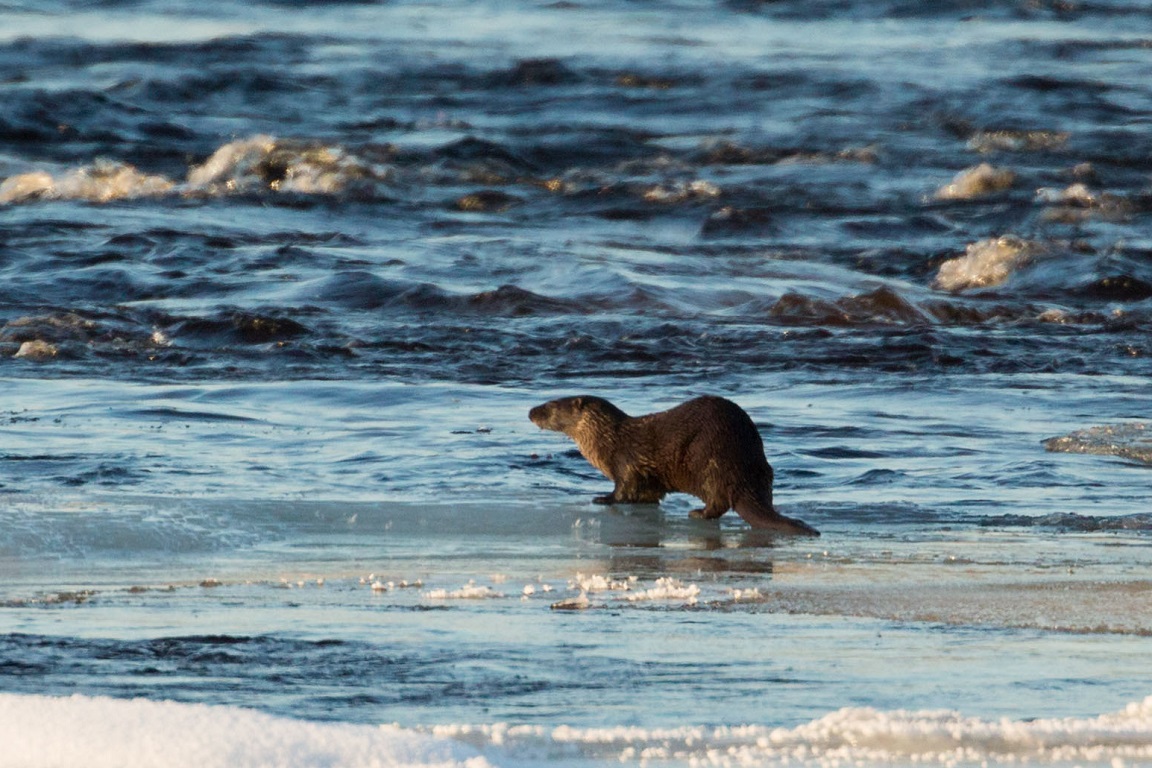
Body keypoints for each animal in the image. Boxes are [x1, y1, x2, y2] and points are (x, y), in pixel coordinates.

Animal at [529, 393, 820, 538]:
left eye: (550, 406)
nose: (531, 412)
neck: (607, 439)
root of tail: (745, 474)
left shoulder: (626, 463)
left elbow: (623, 489)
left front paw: (603, 499)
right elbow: (649, 493)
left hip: (708, 459)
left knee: (718, 502)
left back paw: (697, 513)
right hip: (761, 468)